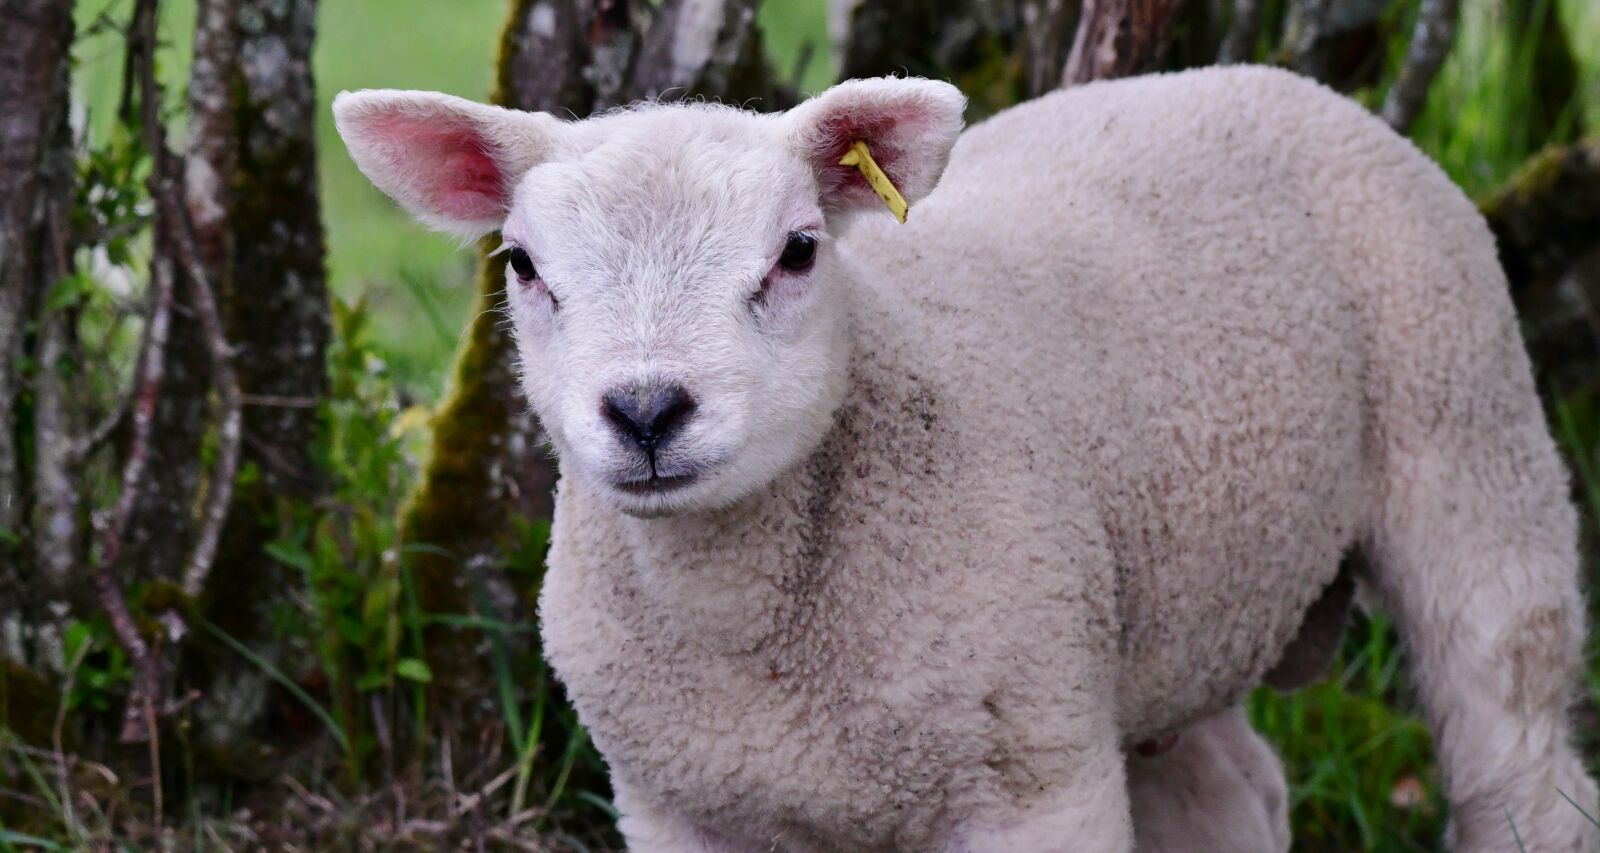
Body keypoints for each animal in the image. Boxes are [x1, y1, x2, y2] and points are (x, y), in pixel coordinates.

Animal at [333, 65, 1600, 852]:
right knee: (1229, 792)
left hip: (1470, 441)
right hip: (1152, 615)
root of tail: (1268, 78)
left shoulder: (1029, 786)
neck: (750, 639)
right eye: (522, 266)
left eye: (798, 251)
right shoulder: (679, 800)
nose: (646, 409)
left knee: (1521, 760)